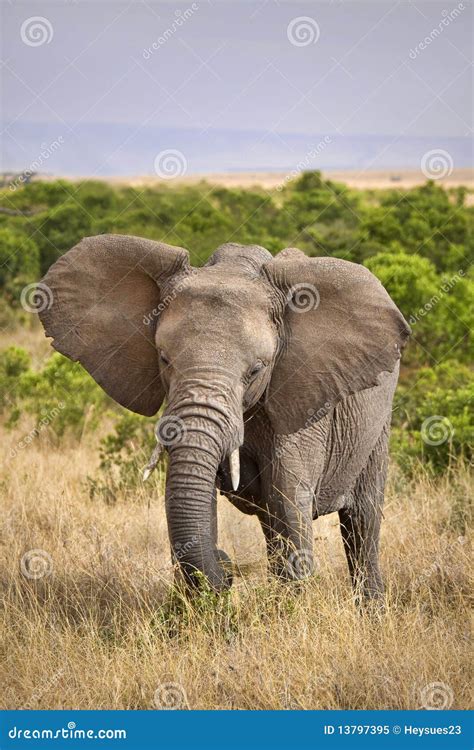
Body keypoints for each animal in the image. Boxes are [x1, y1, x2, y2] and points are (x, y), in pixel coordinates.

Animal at [38, 238, 412, 604]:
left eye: (257, 370)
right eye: (164, 359)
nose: (227, 567)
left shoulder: (301, 406)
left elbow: (288, 500)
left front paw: (289, 613)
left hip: (378, 421)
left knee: (361, 520)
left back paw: (370, 609)